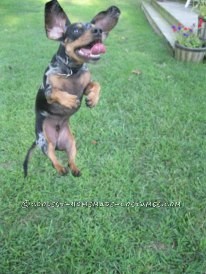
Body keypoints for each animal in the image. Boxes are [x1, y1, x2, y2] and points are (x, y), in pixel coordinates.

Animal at [23, 0, 120, 178]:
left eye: (96, 27)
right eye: (76, 30)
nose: (98, 30)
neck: (72, 70)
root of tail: (57, 142)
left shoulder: (85, 86)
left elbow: (96, 84)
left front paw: (93, 99)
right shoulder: (47, 91)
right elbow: (55, 91)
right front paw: (69, 100)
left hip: (71, 142)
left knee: (70, 159)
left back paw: (74, 169)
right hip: (45, 142)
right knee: (53, 159)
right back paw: (60, 169)